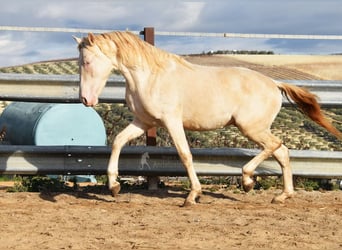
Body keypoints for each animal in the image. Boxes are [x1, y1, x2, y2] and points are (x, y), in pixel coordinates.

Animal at [73, 31, 342, 206]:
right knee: (283, 152)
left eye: (86, 61)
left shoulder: (171, 121)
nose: (85, 99)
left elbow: (185, 154)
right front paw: (114, 187)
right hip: (256, 129)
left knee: (276, 146)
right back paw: (282, 196)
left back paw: (248, 180)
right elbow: (118, 141)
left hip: (251, 128)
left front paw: (193, 195)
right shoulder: (144, 122)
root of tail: (274, 84)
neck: (150, 76)